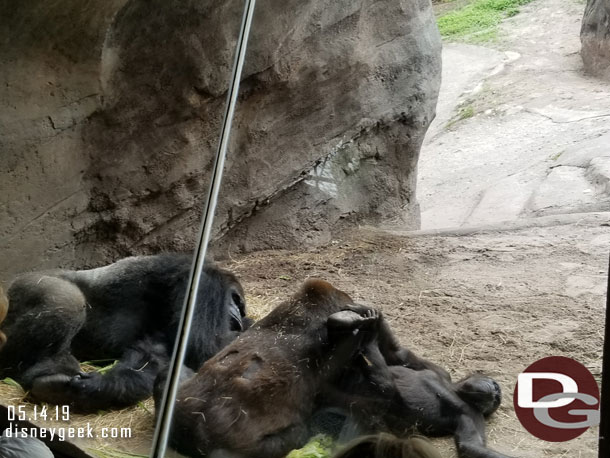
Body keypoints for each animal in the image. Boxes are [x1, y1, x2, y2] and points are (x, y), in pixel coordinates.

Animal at [0, 252, 249, 414]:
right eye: (237, 302)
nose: (239, 318)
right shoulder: (204, 278)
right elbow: (206, 347)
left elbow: (151, 358)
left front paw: (98, 388)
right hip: (19, 289)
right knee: (66, 300)